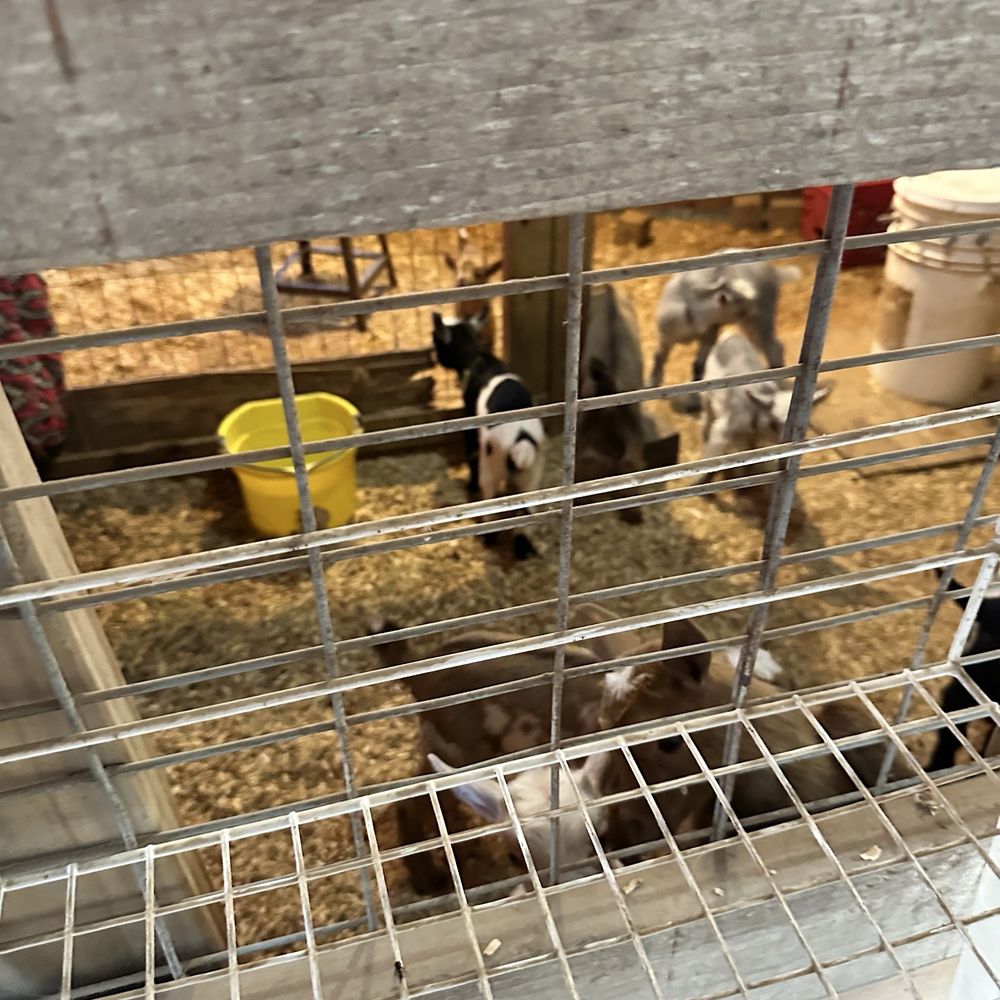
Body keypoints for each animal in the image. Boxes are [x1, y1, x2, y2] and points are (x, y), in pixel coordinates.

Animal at [432, 310, 545, 559]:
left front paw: (470, 485)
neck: (477, 359)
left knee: (491, 501)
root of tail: (521, 439)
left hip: (491, 468)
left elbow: (471, 453)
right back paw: (522, 549)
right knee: (526, 512)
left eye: (435, 338)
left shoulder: (469, 421)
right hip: (531, 476)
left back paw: (489, 537)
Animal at [649, 254, 800, 408]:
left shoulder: (708, 336)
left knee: (773, 346)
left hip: (762, 319)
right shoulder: (666, 337)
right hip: (751, 324)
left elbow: (698, 366)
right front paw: (652, 384)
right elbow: (659, 357)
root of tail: (774, 271)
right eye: (739, 308)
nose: (755, 310)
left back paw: (778, 380)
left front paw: (693, 401)